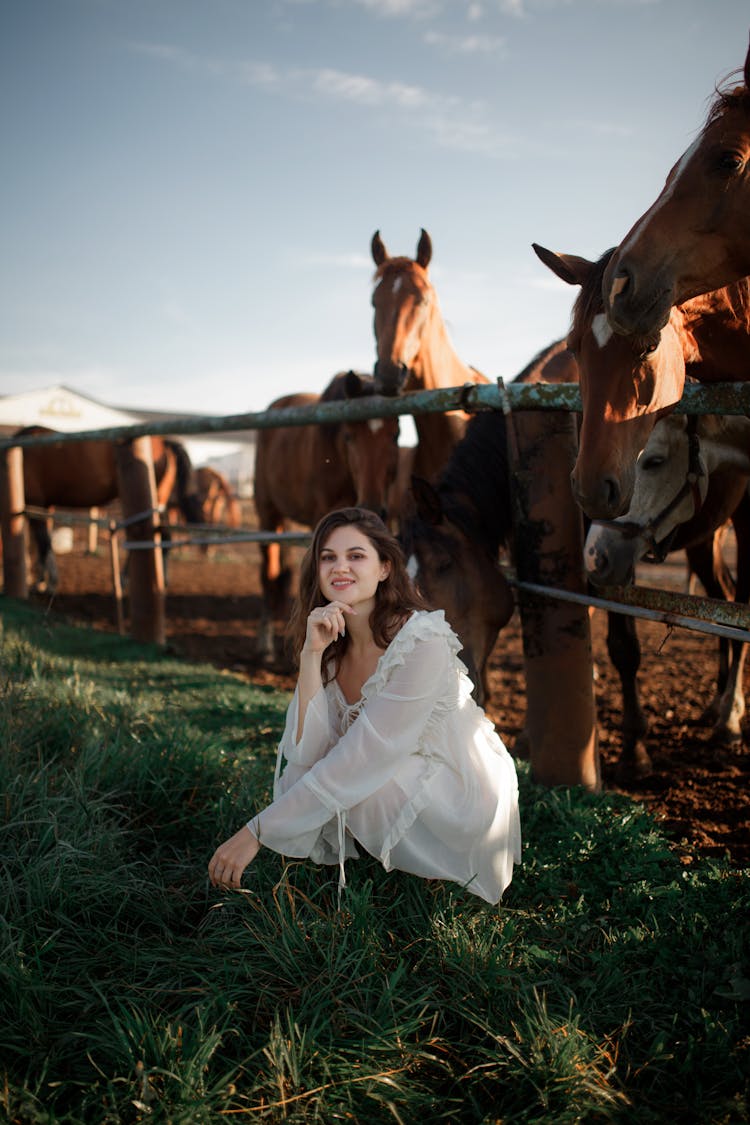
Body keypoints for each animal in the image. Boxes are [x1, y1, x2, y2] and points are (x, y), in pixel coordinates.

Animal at [14, 423, 202, 598]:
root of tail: (164, 443)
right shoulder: (43, 506)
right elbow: (40, 543)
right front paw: (42, 581)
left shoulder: (35, 503)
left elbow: (43, 543)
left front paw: (47, 583)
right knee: (164, 538)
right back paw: (161, 582)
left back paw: (125, 581)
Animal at [255, 369, 402, 666]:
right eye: (349, 436)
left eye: (395, 434)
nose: (371, 505)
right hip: (267, 514)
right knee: (268, 573)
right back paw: (265, 646)